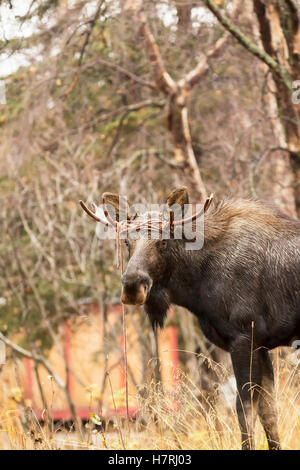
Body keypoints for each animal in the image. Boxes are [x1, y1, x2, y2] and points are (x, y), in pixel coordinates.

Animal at [81, 185, 300, 450]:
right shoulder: (261, 346)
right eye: (126, 241)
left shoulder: (243, 338)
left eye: (163, 241)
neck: (196, 285)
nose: (132, 285)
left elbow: (244, 410)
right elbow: (269, 413)